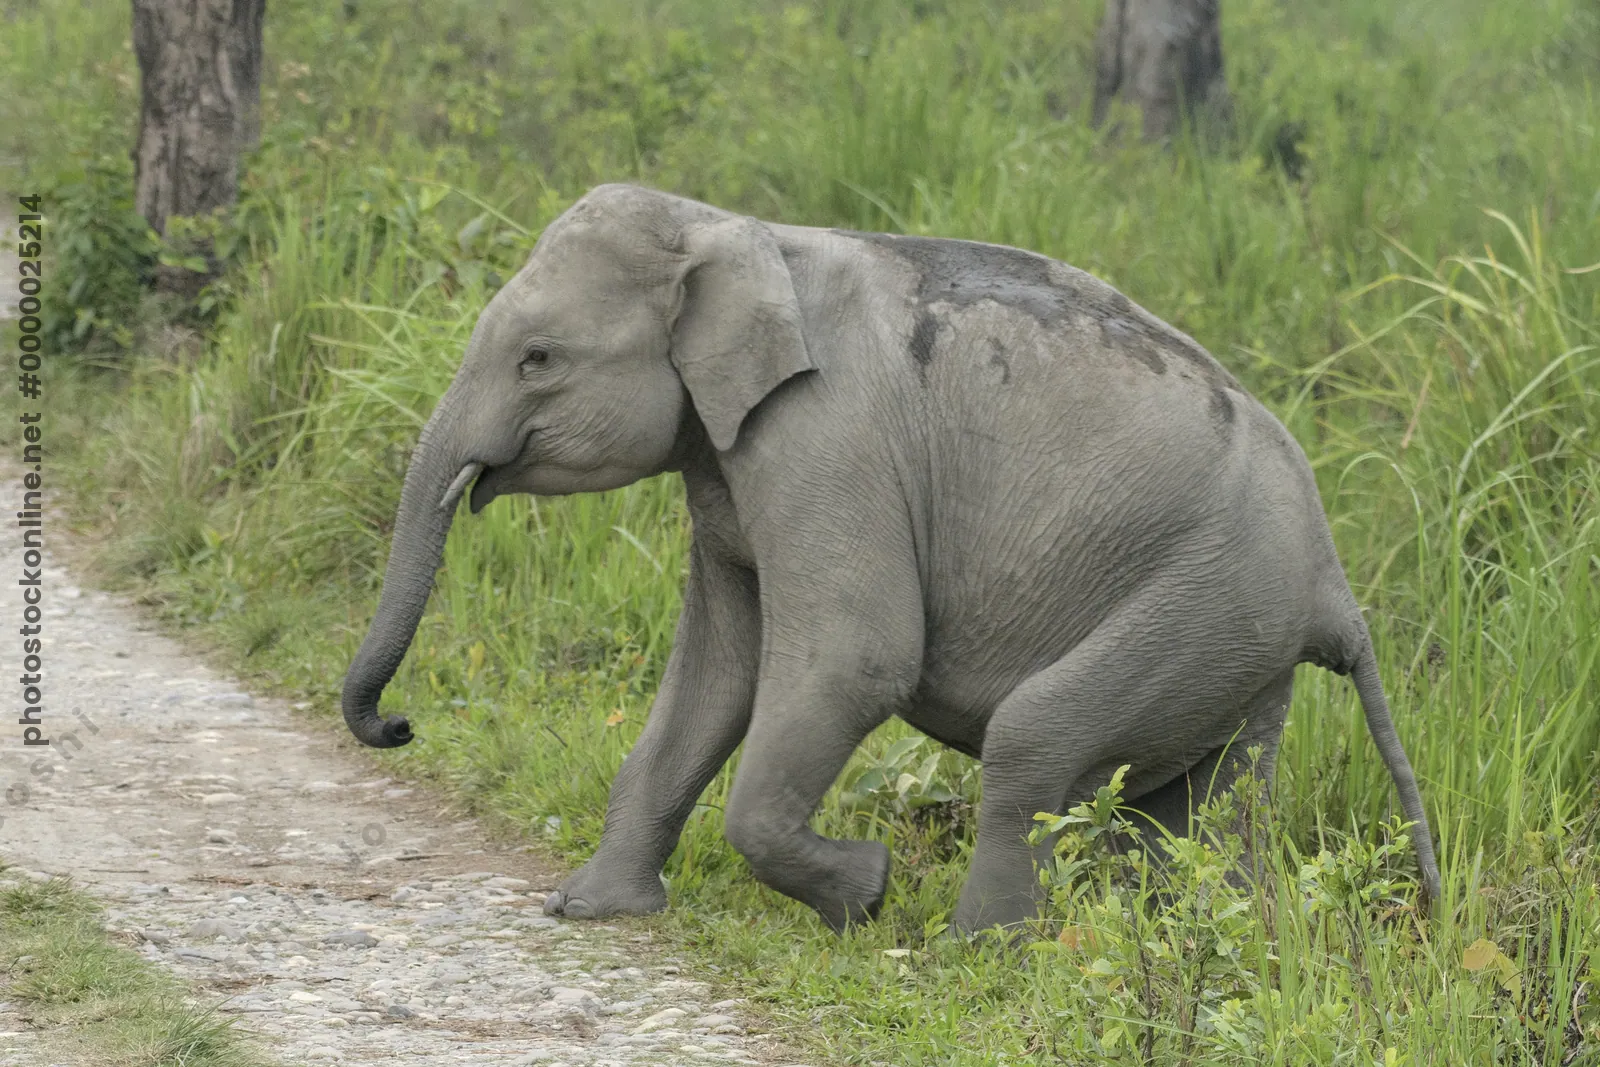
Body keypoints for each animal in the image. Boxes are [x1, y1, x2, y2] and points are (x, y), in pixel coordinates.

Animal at [341, 183, 1441, 933]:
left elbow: (854, 657)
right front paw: (588, 910)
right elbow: (715, 672)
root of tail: (1335, 586)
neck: (734, 227)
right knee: (1209, 801)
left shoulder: (829, 440)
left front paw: (864, 896)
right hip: (1239, 635)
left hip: (1206, 597)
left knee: (1036, 738)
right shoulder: (727, 459)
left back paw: (974, 949)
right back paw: (1197, 932)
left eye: (538, 360)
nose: (399, 723)